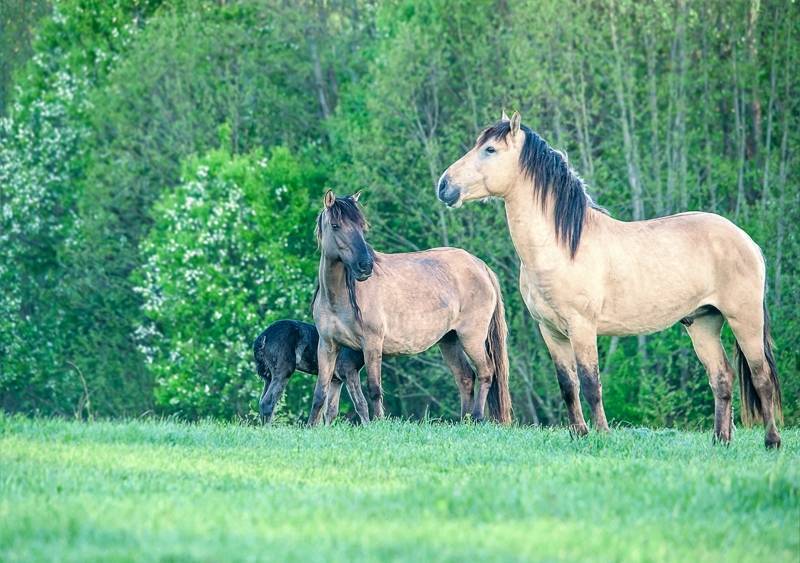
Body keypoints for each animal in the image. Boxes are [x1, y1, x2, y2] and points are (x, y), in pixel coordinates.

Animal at [310, 191, 510, 428]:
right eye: (336, 225)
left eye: (361, 226)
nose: (365, 266)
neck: (338, 299)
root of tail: (480, 265)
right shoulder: (327, 345)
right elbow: (320, 392)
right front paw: (310, 426)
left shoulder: (372, 344)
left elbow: (374, 389)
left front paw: (379, 424)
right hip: (449, 341)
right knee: (465, 378)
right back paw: (464, 421)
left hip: (471, 337)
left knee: (485, 372)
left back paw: (477, 418)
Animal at [438, 111, 780, 450]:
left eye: (490, 150)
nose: (444, 186)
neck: (563, 247)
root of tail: (747, 241)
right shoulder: (550, 331)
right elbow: (568, 384)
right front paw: (578, 433)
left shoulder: (582, 327)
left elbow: (591, 383)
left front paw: (601, 435)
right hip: (703, 322)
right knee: (722, 377)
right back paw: (720, 440)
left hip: (744, 319)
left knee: (761, 377)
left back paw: (771, 441)